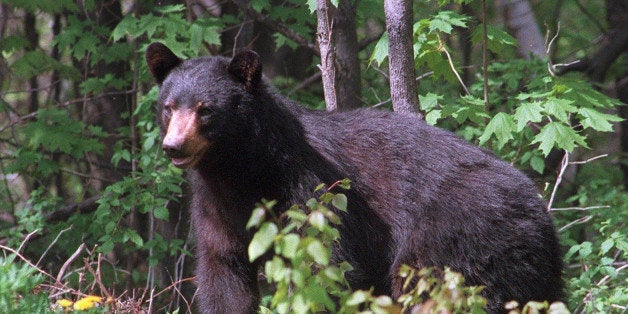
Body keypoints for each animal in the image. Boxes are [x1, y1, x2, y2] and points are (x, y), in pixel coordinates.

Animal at [147, 42, 564, 314]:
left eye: (205, 110)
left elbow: (324, 267)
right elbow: (225, 273)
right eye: (169, 107)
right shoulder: (218, 208)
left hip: (458, 243)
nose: (173, 147)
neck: (245, 167)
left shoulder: (309, 189)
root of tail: (540, 212)